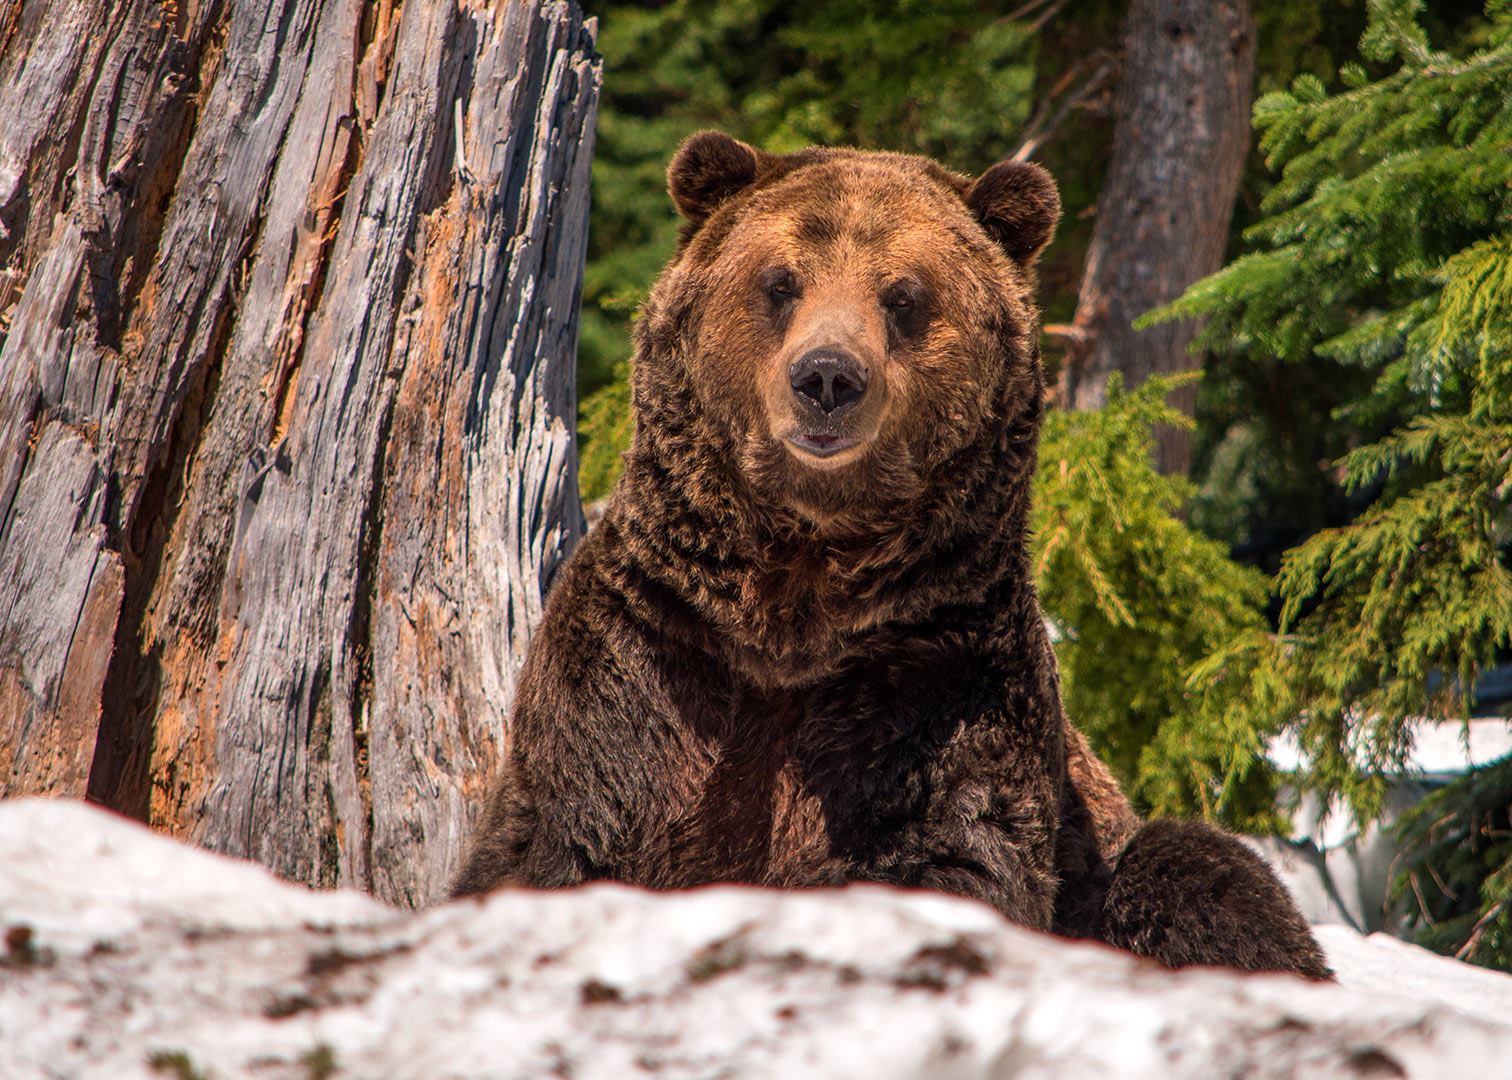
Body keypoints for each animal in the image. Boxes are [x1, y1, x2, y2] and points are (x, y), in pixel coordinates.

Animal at [453, 132, 1330, 974]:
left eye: (903, 296)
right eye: (781, 282)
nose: (827, 377)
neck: (798, 602)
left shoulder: (941, 677)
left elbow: (951, 852)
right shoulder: (652, 654)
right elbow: (566, 833)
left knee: (1199, 872)